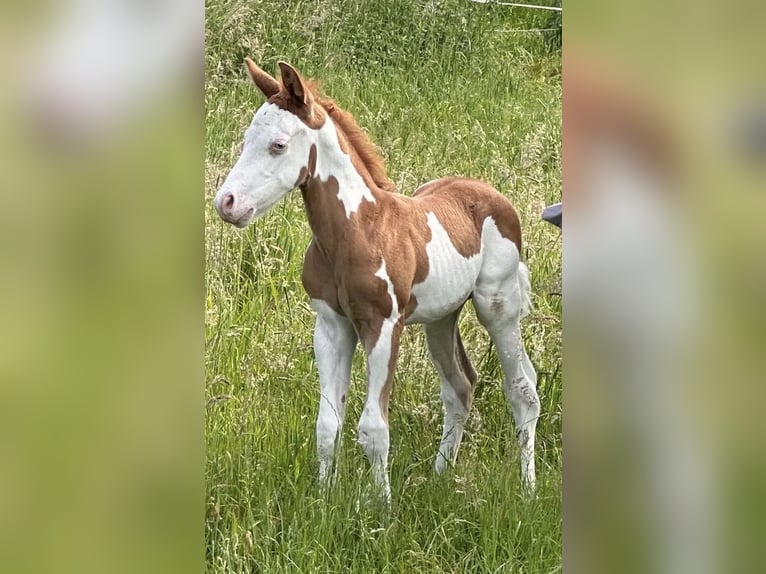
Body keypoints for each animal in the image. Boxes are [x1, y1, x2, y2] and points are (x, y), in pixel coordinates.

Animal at [214, 59, 540, 500]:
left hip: (498, 306)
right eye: (246, 139)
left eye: (278, 145)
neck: (357, 229)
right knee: (460, 387)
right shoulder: (331, 326)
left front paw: (380, 507)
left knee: (523, 390)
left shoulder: (383, 325)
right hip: (441, 318)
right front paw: (324, 500)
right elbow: (327, 425)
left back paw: (528, 489)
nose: (226, 203)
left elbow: (373, 428)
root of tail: (493, 194)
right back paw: (439, 477)